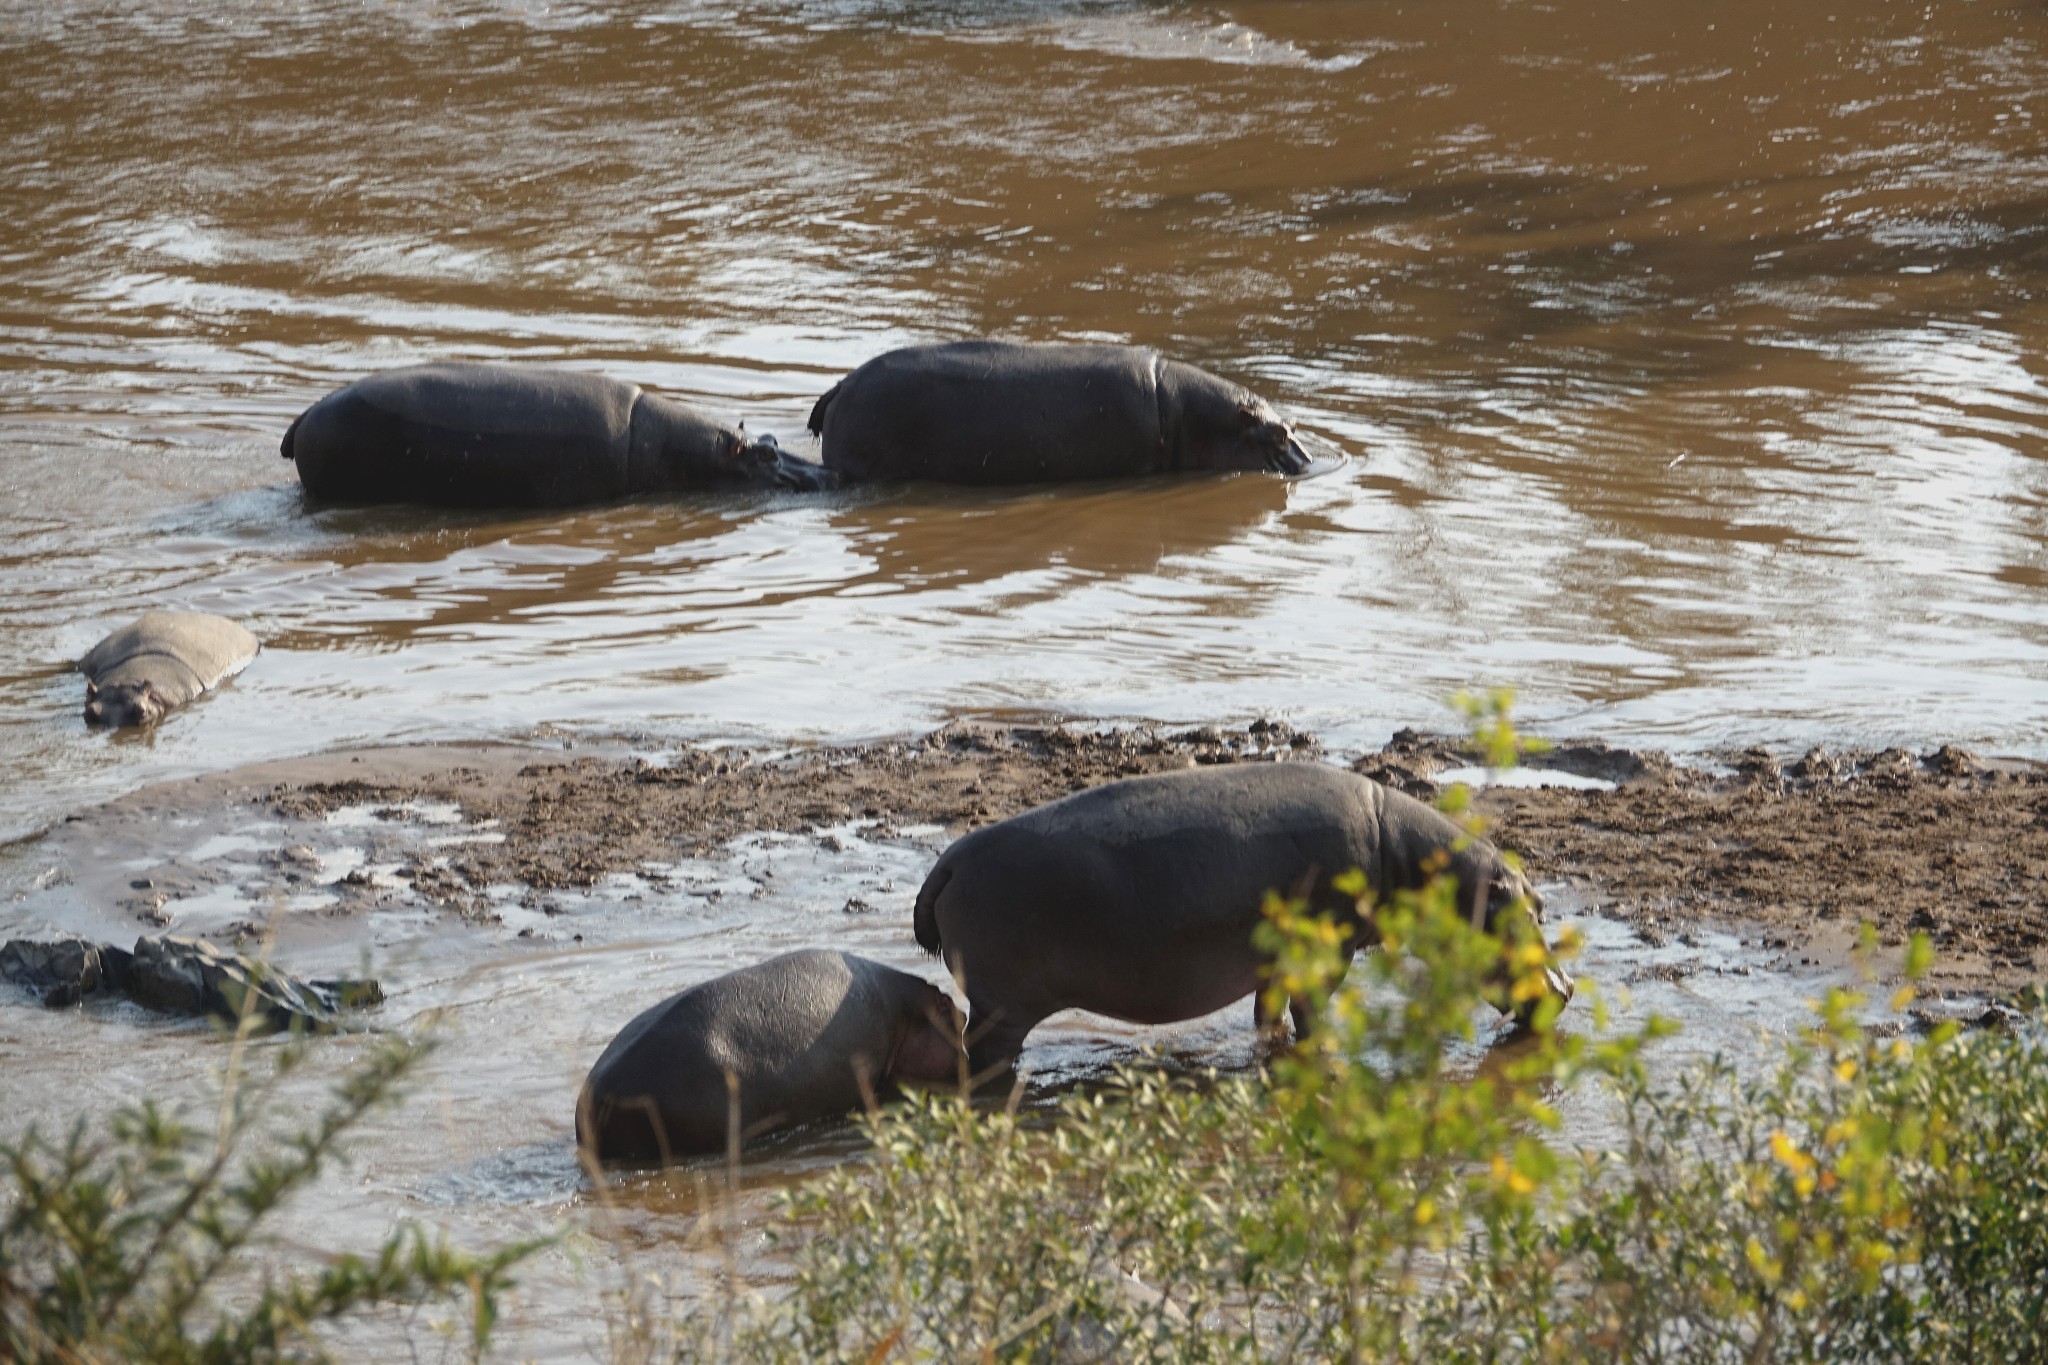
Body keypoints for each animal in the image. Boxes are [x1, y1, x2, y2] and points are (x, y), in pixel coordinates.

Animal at [913, 765, 1564, 1072]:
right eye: (1531, 911)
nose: (1569, 989)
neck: (1408, 857)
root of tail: (948, 861)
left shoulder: (1275, 959)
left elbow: (1269, 1013)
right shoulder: (1329, 951)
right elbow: (1312, 1011)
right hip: (1003, 1006)